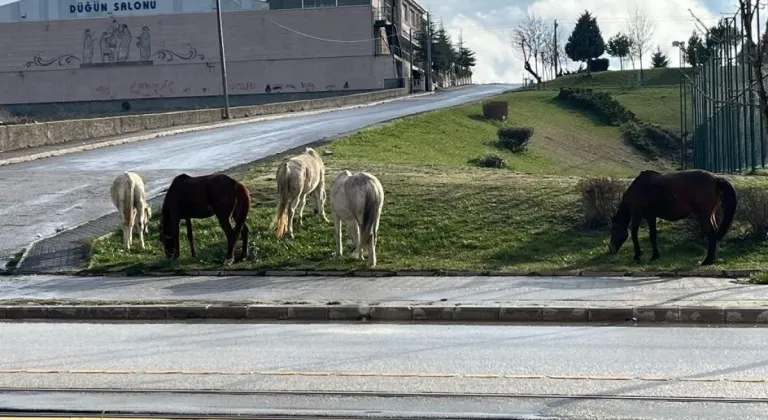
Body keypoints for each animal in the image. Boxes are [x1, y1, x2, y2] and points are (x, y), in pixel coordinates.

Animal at [608, 168, 736, 264]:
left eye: (613, 229)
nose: (611, 249)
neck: (638, 188)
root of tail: (716, 179)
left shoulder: (637, 213)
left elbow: (634, 233)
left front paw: (637, 255)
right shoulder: (651, 216)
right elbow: (653, 235)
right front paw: (655, 255)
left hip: (704, 214)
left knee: (711, 232)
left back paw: (707, 260)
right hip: (711, 214)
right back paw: (711, 259)